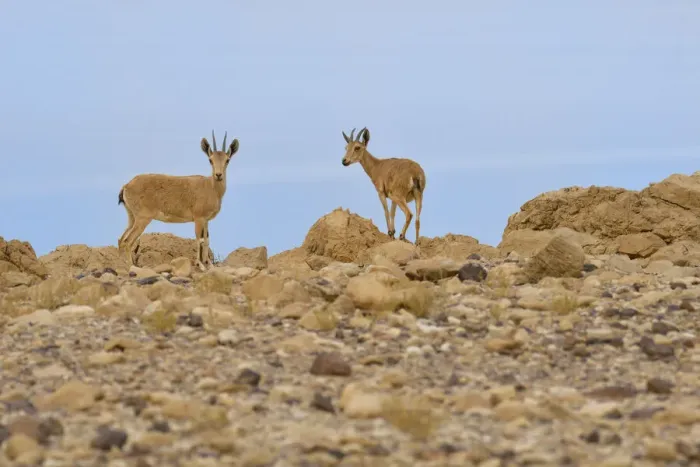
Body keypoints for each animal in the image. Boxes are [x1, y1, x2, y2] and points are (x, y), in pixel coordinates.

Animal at [117, 130, 240, 271]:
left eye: (227, 160)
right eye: (210, 160)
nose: (218, 175)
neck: (211, 188)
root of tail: (126, 186)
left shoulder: (206, 220)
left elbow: (207, 241)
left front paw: (209, 265)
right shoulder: (198, 218)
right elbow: (199, 240)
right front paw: (200, 265)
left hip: (132, 217)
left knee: (121, 240)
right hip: (142, 219)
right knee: (128, 242)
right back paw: (131, 267)